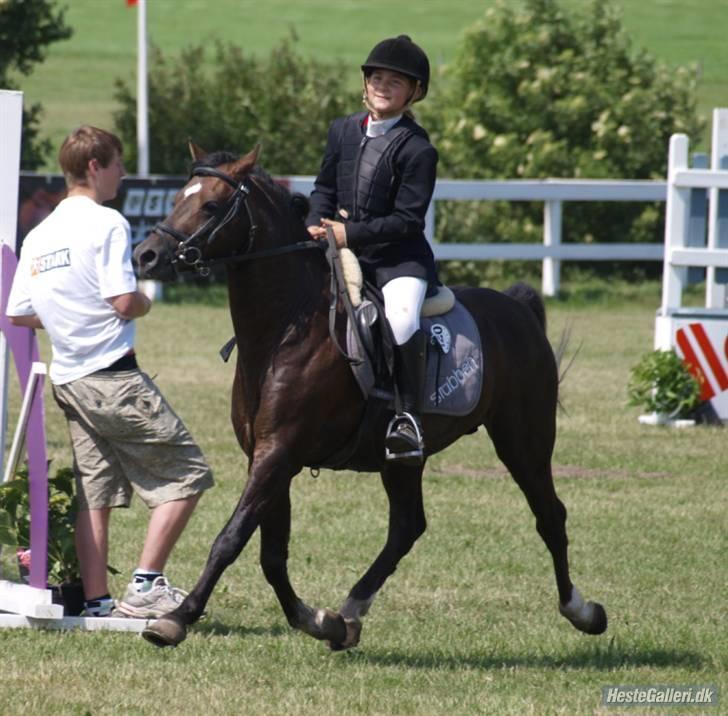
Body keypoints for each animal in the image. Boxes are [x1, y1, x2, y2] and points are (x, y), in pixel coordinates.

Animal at [133, 143, 607, 650]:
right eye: (177, 197)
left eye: (211, 206)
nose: (146, 255)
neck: (284, 330)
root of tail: (518, 308)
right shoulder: (266, 455)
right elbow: (271, 553)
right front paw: (319, 621)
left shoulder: (279, 453)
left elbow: (231, 538)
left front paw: (176, 618)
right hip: (403, 458)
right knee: (407, 527)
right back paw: (351, 611)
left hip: (524, 440)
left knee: (549, 515)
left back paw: (582, 610)